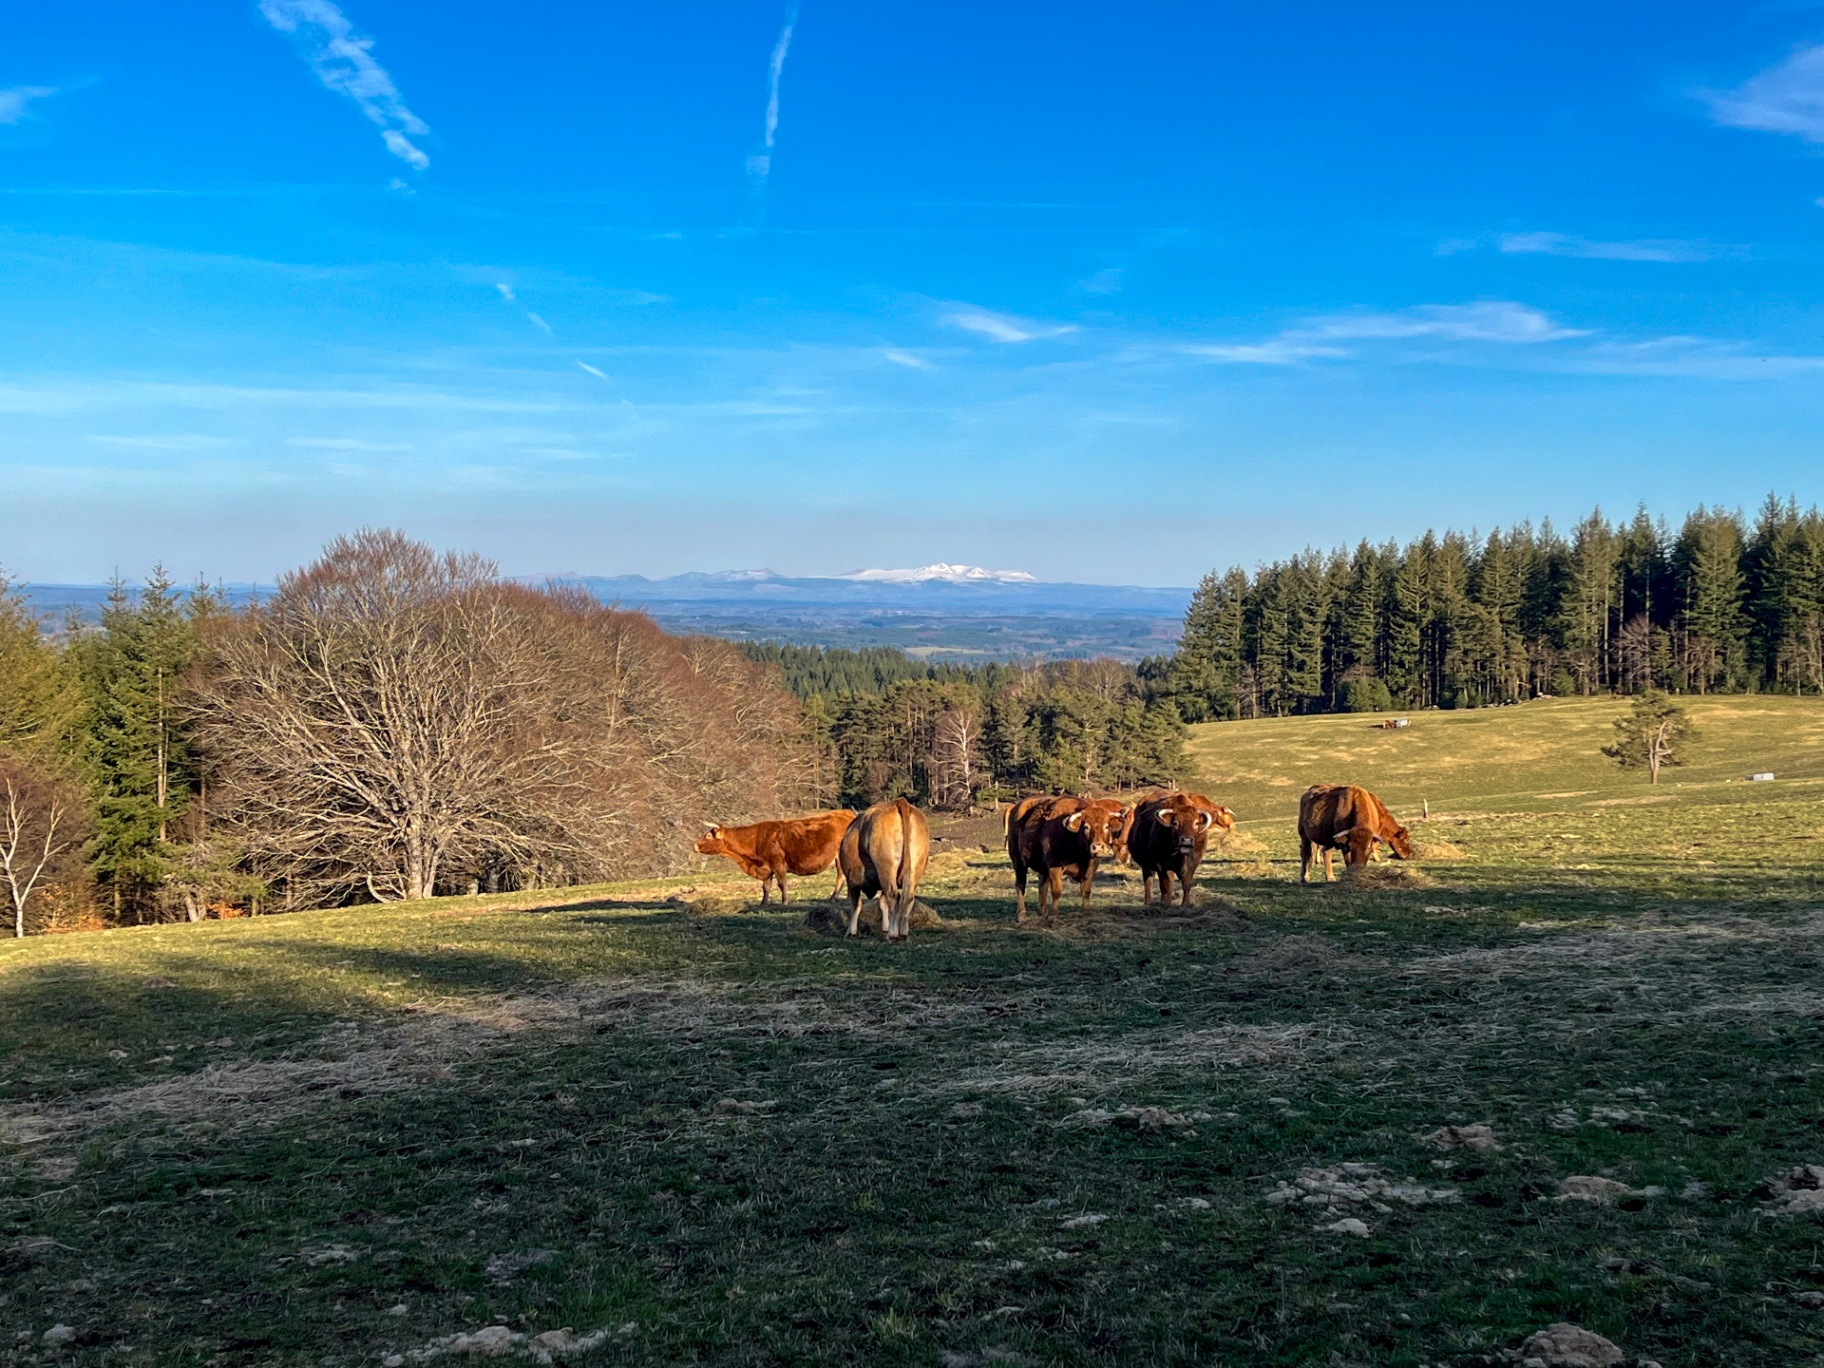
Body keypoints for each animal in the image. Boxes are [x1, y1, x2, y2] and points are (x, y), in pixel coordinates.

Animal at [694, 809, 857, 904]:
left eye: (708, 835)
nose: (695, 845)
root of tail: (849, 813)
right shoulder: (767, 867)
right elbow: (766, 887)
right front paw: (763, 903)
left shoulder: (777, 863)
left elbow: (782, 883)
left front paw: (784, 902)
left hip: (840, 858)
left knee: (842, 877)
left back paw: (834, 898)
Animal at [837, 799, 931, 942]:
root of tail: (899, 802)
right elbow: (882, 903)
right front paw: (884, 928)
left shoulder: (851, 880)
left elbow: (856, 905)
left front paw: (851, 931)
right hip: (914, 869)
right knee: (908, 897)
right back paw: (903, 932)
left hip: (886, 868)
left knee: (892, 895)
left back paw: (892, 934)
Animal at [1004, 794, 1131, 923]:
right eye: (1086, 827)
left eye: (1106, 826)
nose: (1098, 847)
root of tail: (1016, 808)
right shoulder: (1054, 866)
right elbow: (1056, 891)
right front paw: (1053, 915)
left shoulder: (1092, 866)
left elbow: (1086, 890)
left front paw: (1086, 912)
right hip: (1018, 861)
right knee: (1020, 885)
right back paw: (1021, 915)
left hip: (1042, 868)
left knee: (1042, 885)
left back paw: (1042, 912)